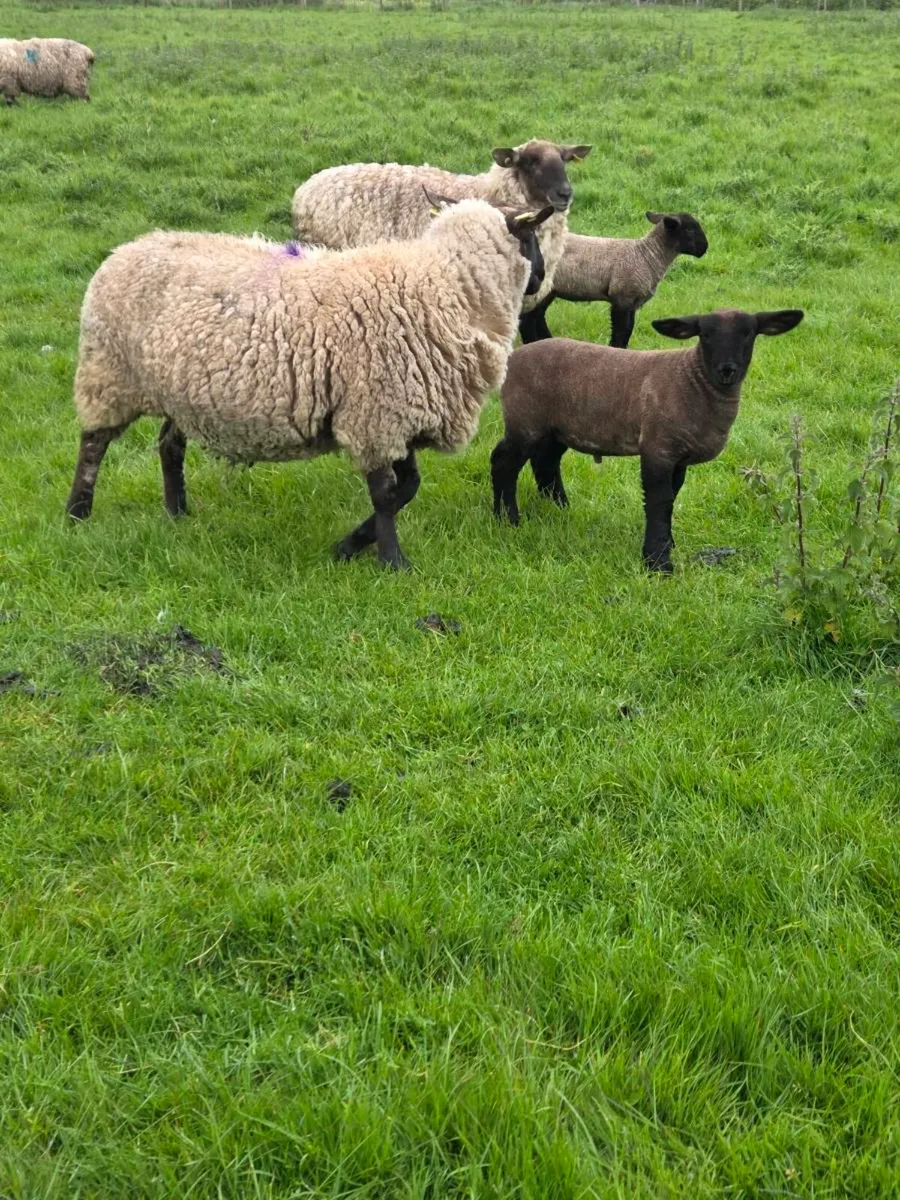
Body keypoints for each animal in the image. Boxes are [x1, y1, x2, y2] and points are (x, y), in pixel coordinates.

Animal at [66, 201, 554, 571]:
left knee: (169, 447)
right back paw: (77, 514)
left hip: (180, 393)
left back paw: (177, 512)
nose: (541, 277)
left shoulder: (399, 412)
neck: (445, 285)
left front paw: (349, 545)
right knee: (93, 446)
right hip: (109, 375)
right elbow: (386, 495)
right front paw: (392, 561)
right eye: (531, 239)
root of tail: (124, 250)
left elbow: (408, 487)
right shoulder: (375, 412)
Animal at [491, 307, 804, 573]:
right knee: (503, 462)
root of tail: (513, 358)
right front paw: (657, 562)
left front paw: (668, 544)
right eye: (705, 334)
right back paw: (507, 519)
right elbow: (659, 501)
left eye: (748, 333)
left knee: (545, 462)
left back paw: (559, 508)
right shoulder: (658, 448)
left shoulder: (679, 456)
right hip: (525, 421)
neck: (693, 380)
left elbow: (672, 498)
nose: (727, 370)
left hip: (555, 427)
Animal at [519, 211, 709, 346]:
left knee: (536, 317)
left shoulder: (632, 302)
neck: (646, 255)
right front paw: (616, 349)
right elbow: (622, 331)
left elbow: (628, 330)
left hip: (548, 290)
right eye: (690, 229)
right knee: (527, 321)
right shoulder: (622, 297)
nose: (704, 248)